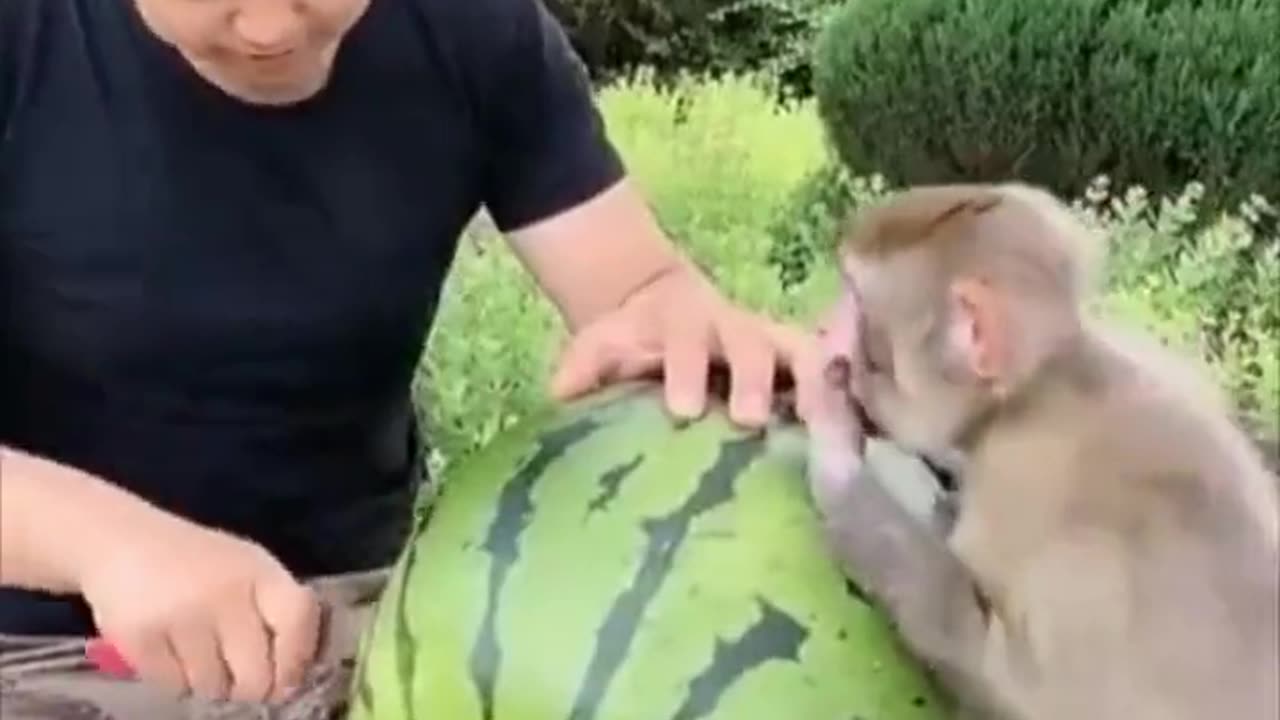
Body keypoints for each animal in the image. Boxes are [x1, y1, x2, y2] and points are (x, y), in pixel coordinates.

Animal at [803, 181, 1274, 717]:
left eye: (856, 302)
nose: (822, 327)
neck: (1030, 396)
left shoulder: (1035, 504)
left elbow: (1017, 685)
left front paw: (835, 451)